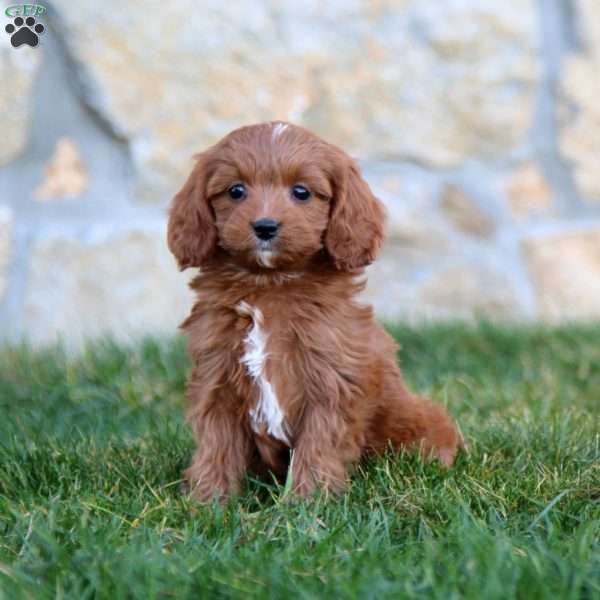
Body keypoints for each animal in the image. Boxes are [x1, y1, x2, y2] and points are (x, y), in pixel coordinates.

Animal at [166, 123, 462, 502]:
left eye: (301, 192)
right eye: (236, 190)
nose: (265, 226)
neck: (269, 284)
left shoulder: (330, 380)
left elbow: (319, 442)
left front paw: (308, 500)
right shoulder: (216, 374)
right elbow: (216, 442)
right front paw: (207, 500)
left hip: (418, 418)